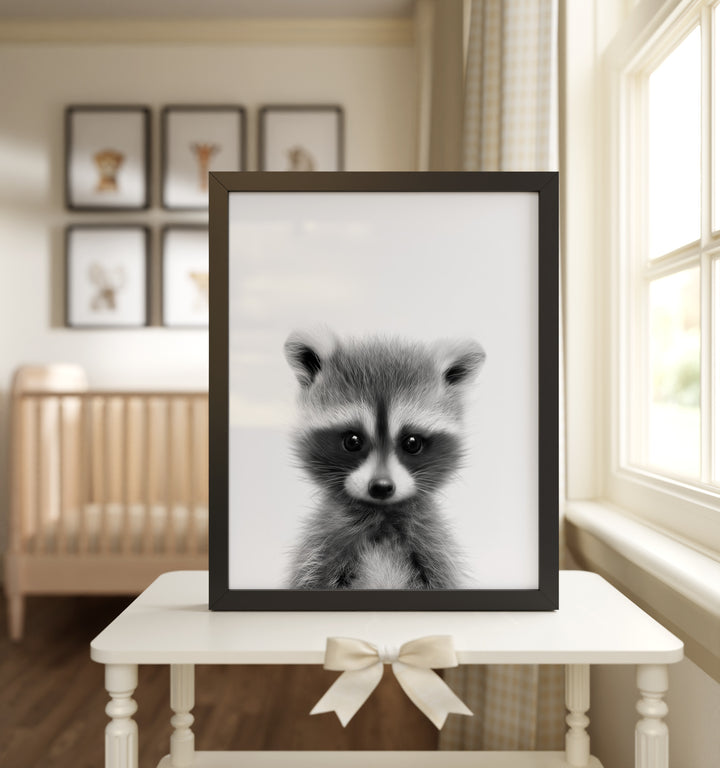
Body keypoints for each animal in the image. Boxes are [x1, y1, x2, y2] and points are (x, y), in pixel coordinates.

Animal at [284, 331, 486, 590]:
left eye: (412, 442)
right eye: (353, 441)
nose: (381, 487)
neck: (381, 516)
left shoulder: (433, 546)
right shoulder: (322, 546)